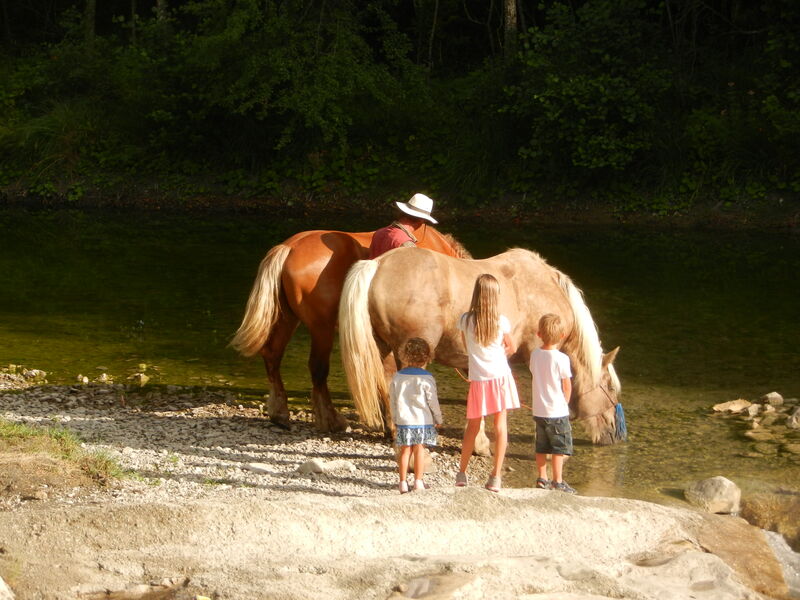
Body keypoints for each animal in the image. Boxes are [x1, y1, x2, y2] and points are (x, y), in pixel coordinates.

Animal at [230, 225, 470, 432]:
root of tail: (289, 247)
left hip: (287, 318)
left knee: (272, 355)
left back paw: (279, 413)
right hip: (322, 328)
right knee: (317, 369)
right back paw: (331, 420)